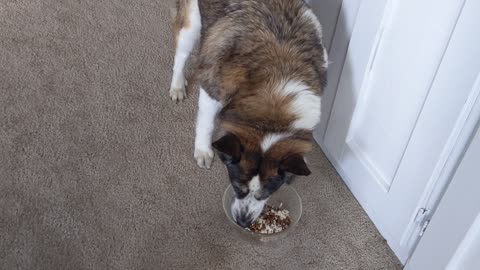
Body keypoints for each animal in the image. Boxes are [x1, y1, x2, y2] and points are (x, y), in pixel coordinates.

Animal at [168, 0, 326, 228]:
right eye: (236, 187)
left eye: (266, 194)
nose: (243, 222)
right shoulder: (213, 88)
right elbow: (206, 124)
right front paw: (203, 151)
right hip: (192, 23)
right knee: (181, 54)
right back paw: (177, 86)